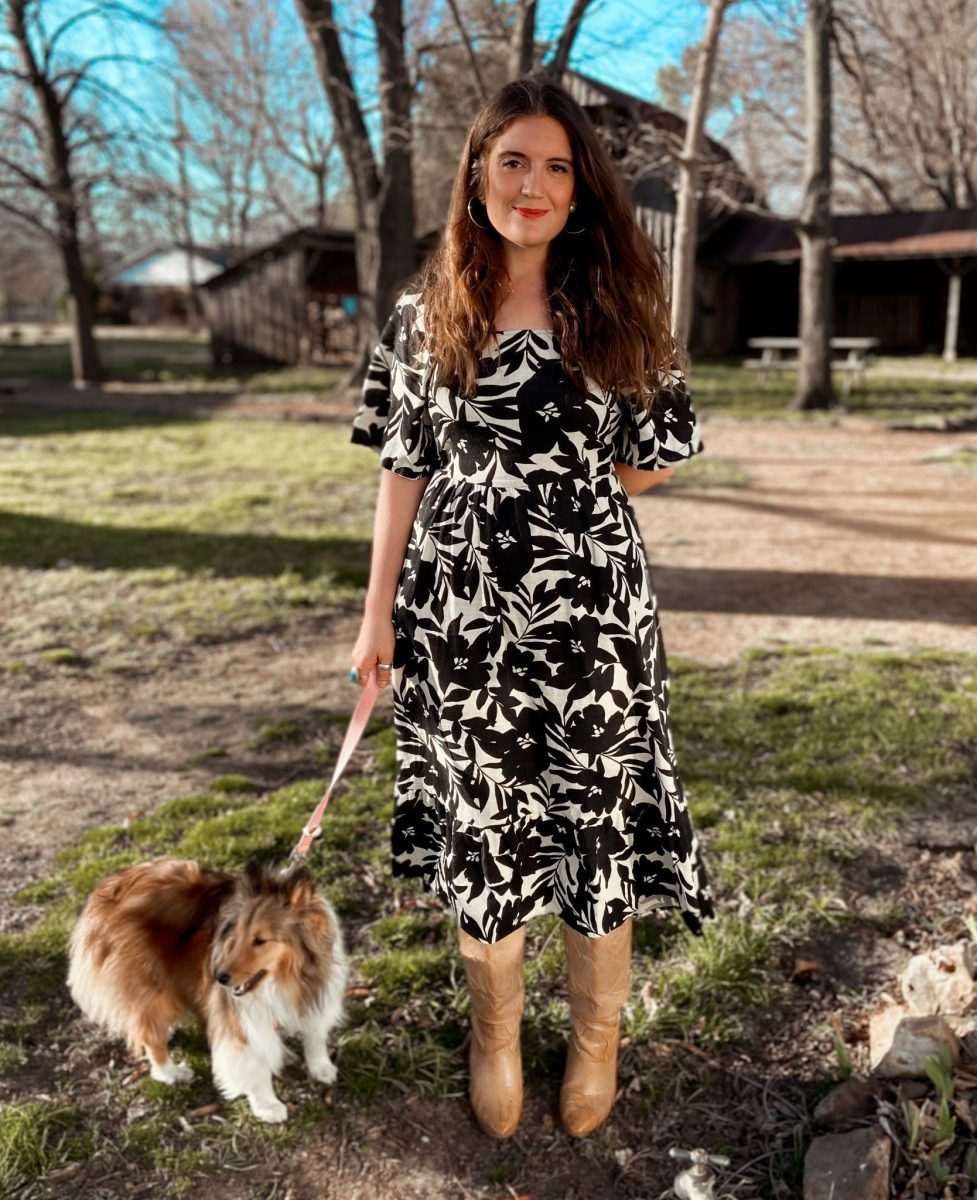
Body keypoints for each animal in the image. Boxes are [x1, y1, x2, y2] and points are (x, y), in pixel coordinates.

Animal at [66, 859, 348, 1118]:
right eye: (236, 935)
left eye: (260, 940)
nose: (219, 977)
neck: (286, 978)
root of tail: (109, 887)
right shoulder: (237, 1016)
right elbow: (254, 1063)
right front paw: (267, 1106)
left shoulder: (317, 992)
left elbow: (314, 1035)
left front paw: (321, 1068)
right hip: (147, 985)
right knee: (150, 1034)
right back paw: (171, 1072)